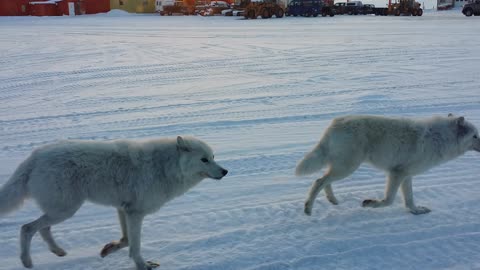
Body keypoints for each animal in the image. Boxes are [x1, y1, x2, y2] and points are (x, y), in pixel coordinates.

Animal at [0, 137, 227, 270]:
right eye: (204, 160)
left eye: (213, 157)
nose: (225, 171)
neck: (164, 166)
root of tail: (35, 156)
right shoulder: (135, 213)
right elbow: (135, 245)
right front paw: (143, 265)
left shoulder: (123, 209)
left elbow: (126, 241)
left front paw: (108, 250)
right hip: (65, 210)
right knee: (27, 228)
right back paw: (27, 261)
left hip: (61, 210)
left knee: (43, 229)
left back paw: (58, 251)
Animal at [296, 115, 480, 216]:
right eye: (475, 136)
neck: (440, 138)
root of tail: (334, 123)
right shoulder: (397, 173)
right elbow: (389, 200)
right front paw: (370, 203)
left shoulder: (406, 175)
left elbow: (409, 200)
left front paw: (416, 211)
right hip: (347, 168)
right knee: (319, 181)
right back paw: (308, 209)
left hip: (342, 167)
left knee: (324, 181)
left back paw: (332, 200)